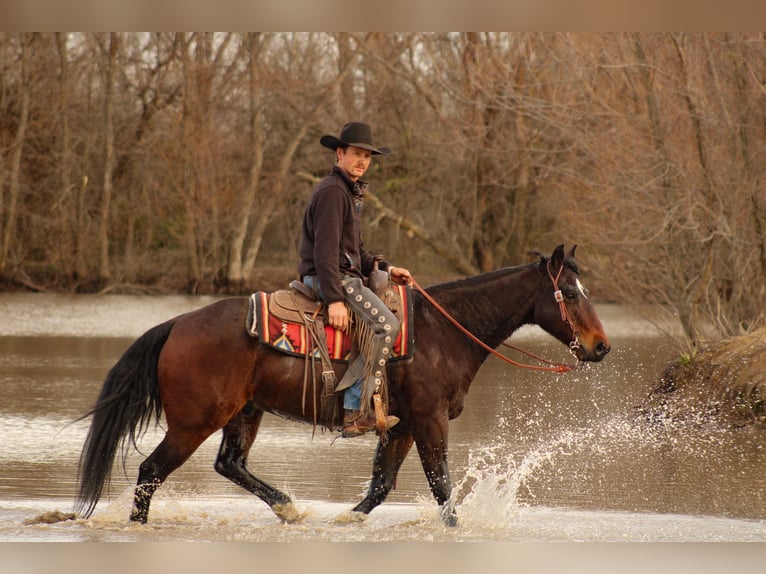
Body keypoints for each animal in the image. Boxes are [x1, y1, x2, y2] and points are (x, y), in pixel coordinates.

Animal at [74, 244, 610, 527]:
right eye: (568, 293)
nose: (601, 346)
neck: (443, 331)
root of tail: (177, 324)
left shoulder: (401, 426)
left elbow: (381, 485)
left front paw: (348, 518)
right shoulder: (430, 421)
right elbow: (442, 487)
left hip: (245, 413)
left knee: (229, 464)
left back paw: (288, 509)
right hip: (195, 421)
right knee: (151, 472)